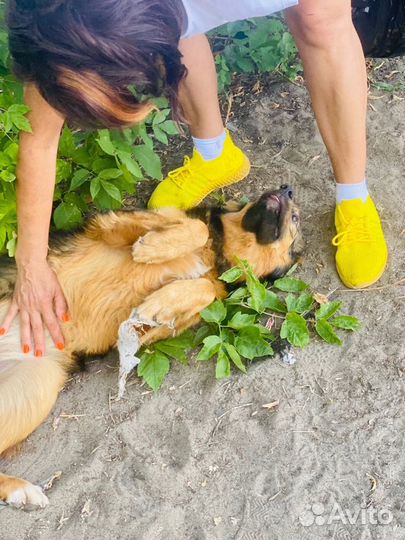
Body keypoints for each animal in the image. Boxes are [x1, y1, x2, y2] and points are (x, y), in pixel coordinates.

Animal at [0, 185, 302, 506]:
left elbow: (202, 291)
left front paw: (160, 303)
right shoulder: (115, 224)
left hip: (35, 388)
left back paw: (20, 491)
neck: (217, 252)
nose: (287, 188)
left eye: (296, 219)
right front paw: (153, 248)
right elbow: (193, 228)